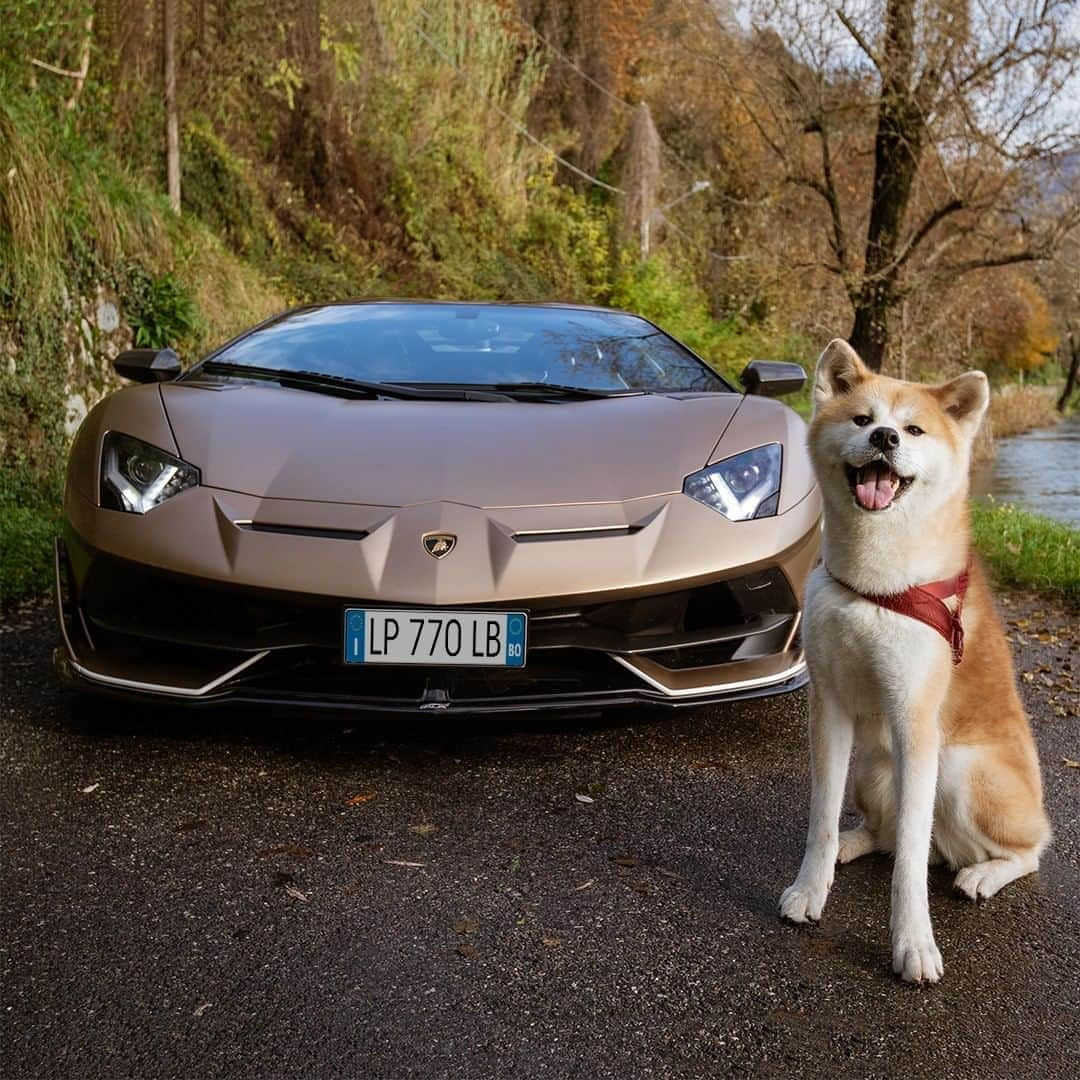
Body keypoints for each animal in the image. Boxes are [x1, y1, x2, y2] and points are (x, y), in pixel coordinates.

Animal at [781, 341, 1049, 984]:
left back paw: (983, 873)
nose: (883, 437)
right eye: (862, 418)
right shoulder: (829, 706)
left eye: (913, 429)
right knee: (888, 833)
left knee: (1025, 851)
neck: (875, 585)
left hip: (959, 770)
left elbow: (909, 861)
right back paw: (856, 843)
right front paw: (811, 888)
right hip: (873, 769)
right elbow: (821, 819)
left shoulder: (914, 717)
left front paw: (913, 944)